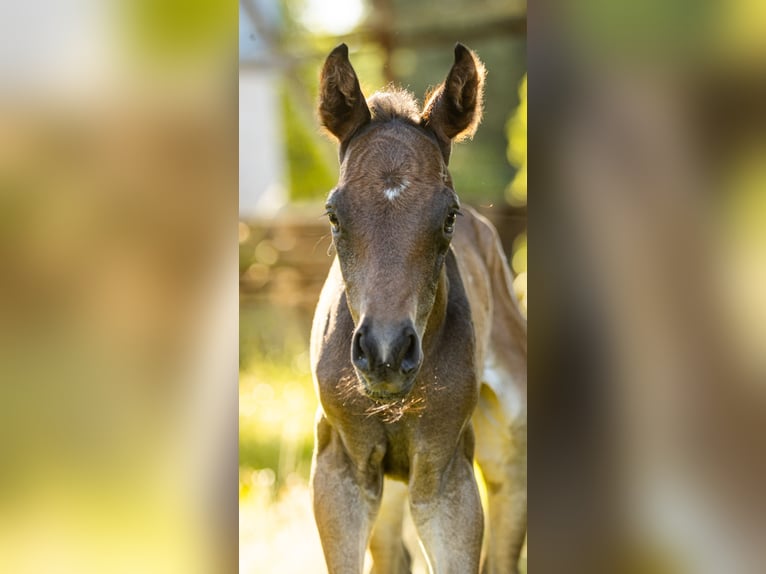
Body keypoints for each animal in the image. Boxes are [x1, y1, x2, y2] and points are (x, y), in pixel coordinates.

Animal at [309, 43, 527, 574]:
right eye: (333, 215)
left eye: (449, 216)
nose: (384, 353)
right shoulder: (340, 467)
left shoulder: (444, 475)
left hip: (507, 454)